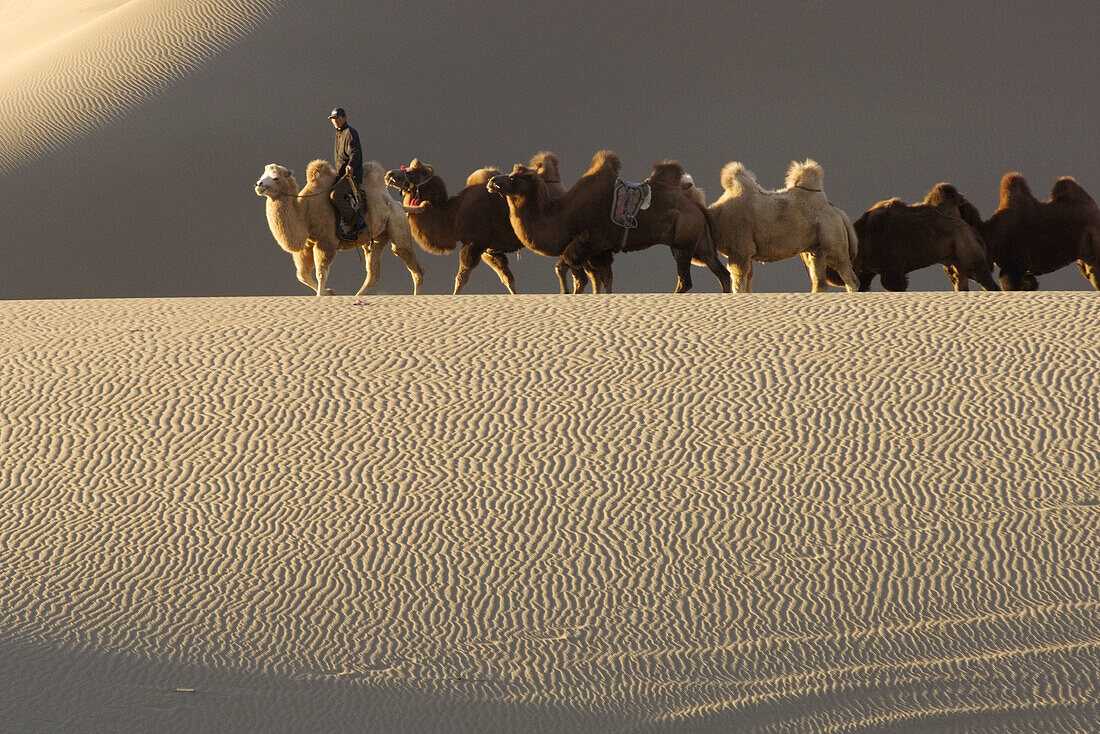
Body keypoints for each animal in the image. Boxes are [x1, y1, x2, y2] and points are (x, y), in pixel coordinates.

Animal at [257, 159, 424, 294]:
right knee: (373, 274)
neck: (305, 211)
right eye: (262, 175)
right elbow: (302, 275)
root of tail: (398, 205)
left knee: (412, 264)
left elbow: (321, 274)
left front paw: (322, 295)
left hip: (398, 224)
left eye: (276, 178)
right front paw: (329, 292)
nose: (259, 185)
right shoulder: (308, 244)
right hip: (377, 238)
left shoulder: (326, 241)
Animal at [488, 151, 730, 292]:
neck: (561, 216)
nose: (492, 181)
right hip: (700, 242)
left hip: (682, 243)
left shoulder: (587, 242)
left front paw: (565, 294)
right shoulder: (600, 252)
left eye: (513, 178)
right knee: (721, 272)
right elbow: (601, 280)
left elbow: (566, 269)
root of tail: (698, 207)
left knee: (686, 279)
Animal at [708, 160, 862, 292]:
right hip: (816, 248)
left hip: (832, 234)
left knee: (848, 275)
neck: (718, 217)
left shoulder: (740, 250)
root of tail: (838, 212)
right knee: (819, 279)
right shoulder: (746, 253)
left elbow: (738, 281)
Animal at [844, 183, 1003, 292]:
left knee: (978, 272)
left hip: (965, 244)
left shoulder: (892, 268)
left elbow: (893, 284)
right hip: (952, 256)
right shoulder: (866, 271)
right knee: (960, 277)